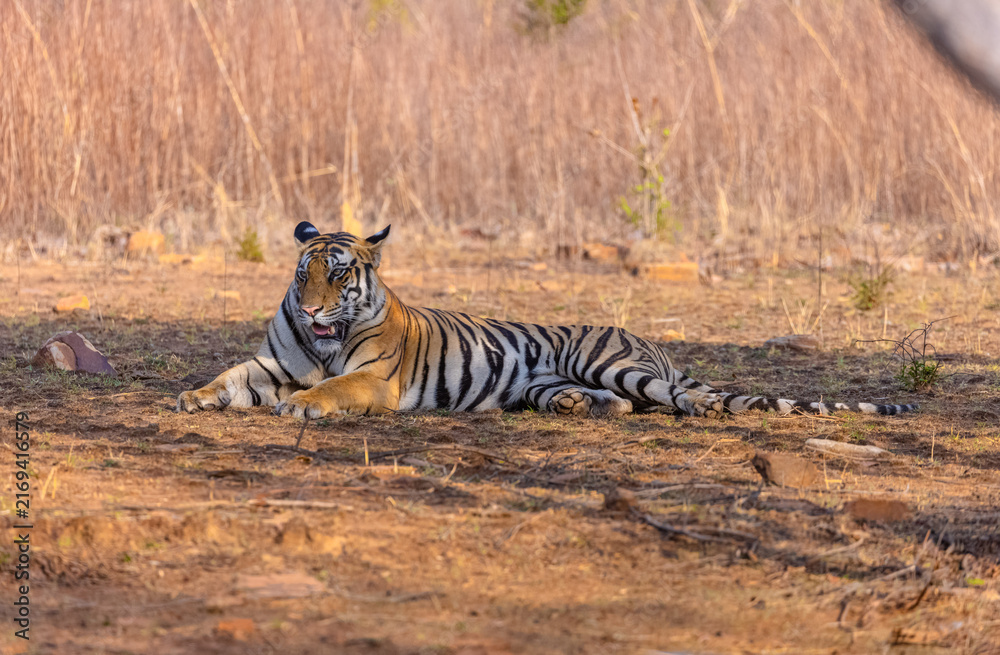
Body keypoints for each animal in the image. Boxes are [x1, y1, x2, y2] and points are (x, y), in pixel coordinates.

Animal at [176, 222, 918, 420]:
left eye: (338, 274)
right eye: (304, 273)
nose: (309, 306)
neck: (323, 339)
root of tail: (649, 340)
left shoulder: (374, 380)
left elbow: (329, 388)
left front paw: (304, 407)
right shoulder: (272, 363)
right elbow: (232, 375)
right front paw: (194, 396)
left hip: (612, 361)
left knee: (670, 396)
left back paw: (700, 409)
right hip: (551, 380)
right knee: (618, 405)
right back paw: (576, 406)